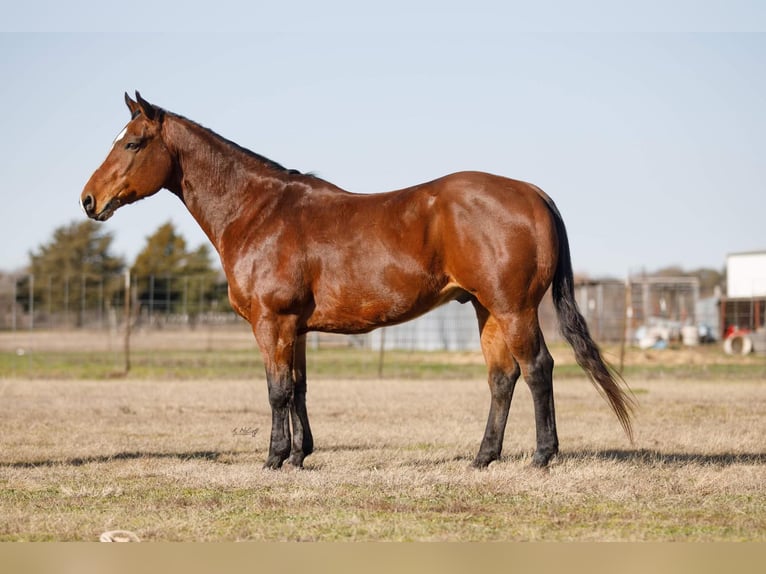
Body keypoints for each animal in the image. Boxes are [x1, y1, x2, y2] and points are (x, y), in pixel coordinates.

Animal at [82, 92, 636, 470]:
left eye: (132, 142)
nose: (89, 200)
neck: (259, 212)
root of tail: (532, 193)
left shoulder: (271, 322)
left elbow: (277, 391)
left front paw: (274, 459)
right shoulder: (295, 328)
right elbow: (299, 388)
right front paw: (301, 456)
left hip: (513, 308)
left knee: (538, 369)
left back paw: (543, 456)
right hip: (487, 309)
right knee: (503, 377)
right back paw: (483, 458)